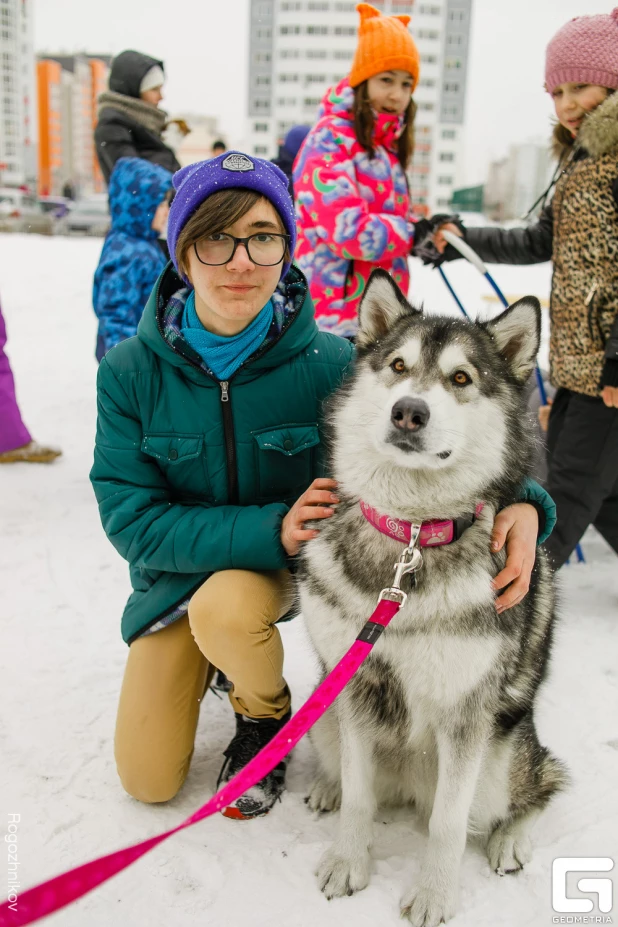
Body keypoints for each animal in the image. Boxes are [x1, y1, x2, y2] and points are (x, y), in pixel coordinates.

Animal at [296, 270, 564, 927]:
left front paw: (435, 895)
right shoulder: (354, 691)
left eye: (461, 378)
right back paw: (328, 786)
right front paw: (348, 862)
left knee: (538, 785)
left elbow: (446, 824)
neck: (412, 536)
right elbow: (360, 796)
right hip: (324, 709)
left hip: (501, 759)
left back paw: (510, 838)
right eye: (398, 365)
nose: (409, 411)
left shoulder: (466, 714)